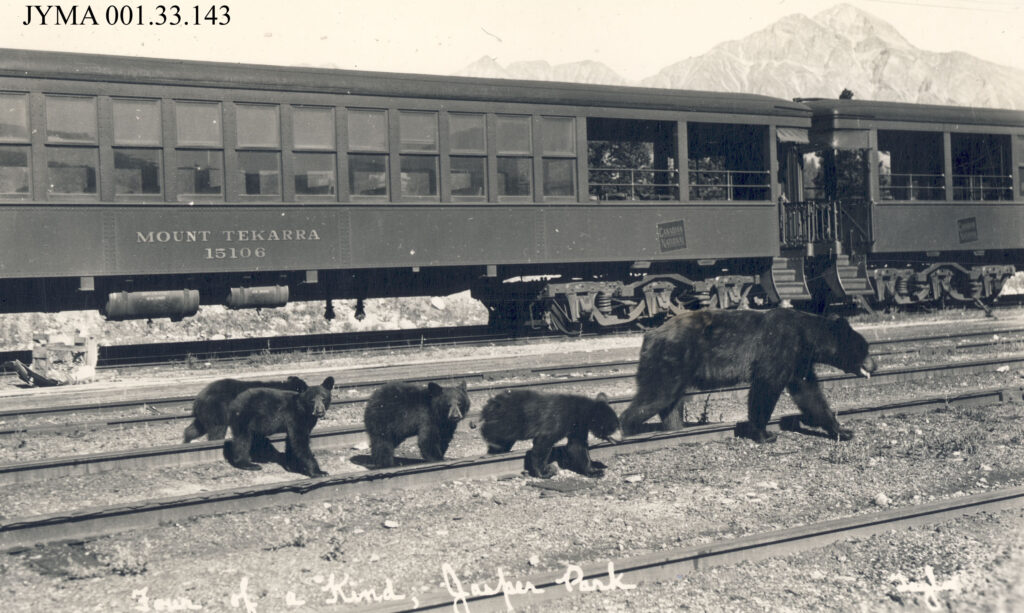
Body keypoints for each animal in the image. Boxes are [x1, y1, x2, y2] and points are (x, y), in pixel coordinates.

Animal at [478, 389, 622, 479]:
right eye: (615, 426)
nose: (620, 439)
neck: (579, 413)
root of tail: (491, 403)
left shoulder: (577, 427)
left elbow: (577, 446)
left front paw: (594, 471)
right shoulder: (560, 418)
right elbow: (544, 442)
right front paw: (545, 472)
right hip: (511, 419)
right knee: (498, 432)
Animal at [619, 309, 877, 444]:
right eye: (865, 348)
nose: (874, 365)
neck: (806, 336)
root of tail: (650, 334)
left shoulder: (798, 360)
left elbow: (810, 394)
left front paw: (842, 430)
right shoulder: (780, 345)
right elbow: (766, 386)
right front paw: (764, 433)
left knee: (669, 402)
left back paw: (674, 429)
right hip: (672, 358)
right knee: (657, 395)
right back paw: (626, 430)